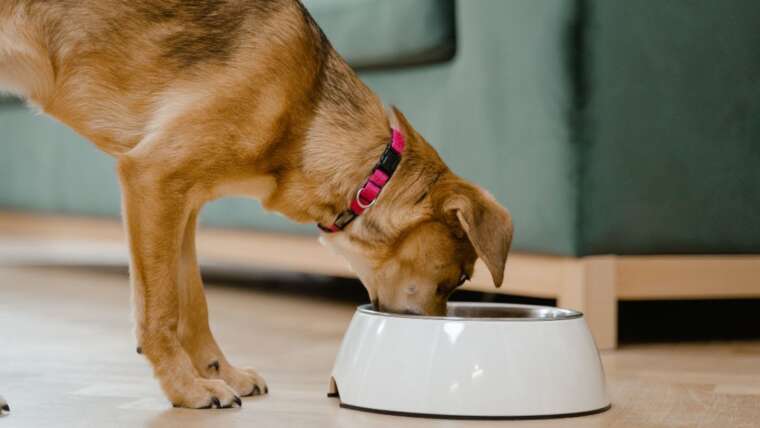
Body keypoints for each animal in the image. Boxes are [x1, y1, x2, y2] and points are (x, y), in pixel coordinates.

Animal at [0, 0, 512, 410]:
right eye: (457, 279)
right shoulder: (152, 178)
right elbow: (161, 310)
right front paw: (187, 390)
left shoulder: (182, 204)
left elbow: (194, 304)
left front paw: (219, 373)